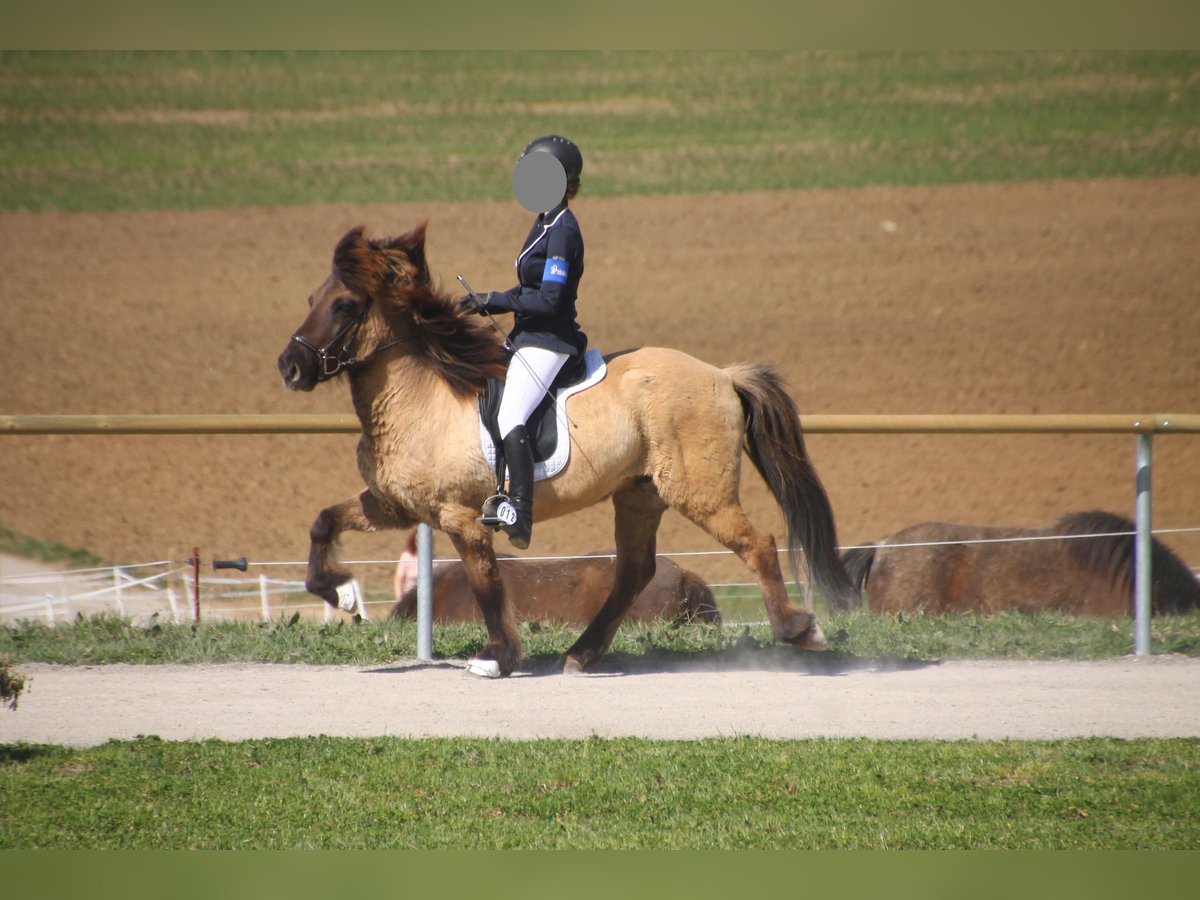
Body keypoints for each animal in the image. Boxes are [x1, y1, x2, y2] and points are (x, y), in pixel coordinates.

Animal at [276, 225, 859, 676]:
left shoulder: (460, 516)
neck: (421, 397)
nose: (290, 367)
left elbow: (487, 586)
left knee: (758, 543)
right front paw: (341, 593)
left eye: (344, 305)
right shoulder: (394, 506)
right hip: (639, 495)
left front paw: (498, 657)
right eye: (309, 300)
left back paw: (798, 629)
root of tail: (721, 374)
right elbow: (323, 522)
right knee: (634, 571)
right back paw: (581, 653)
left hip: (700, 492)